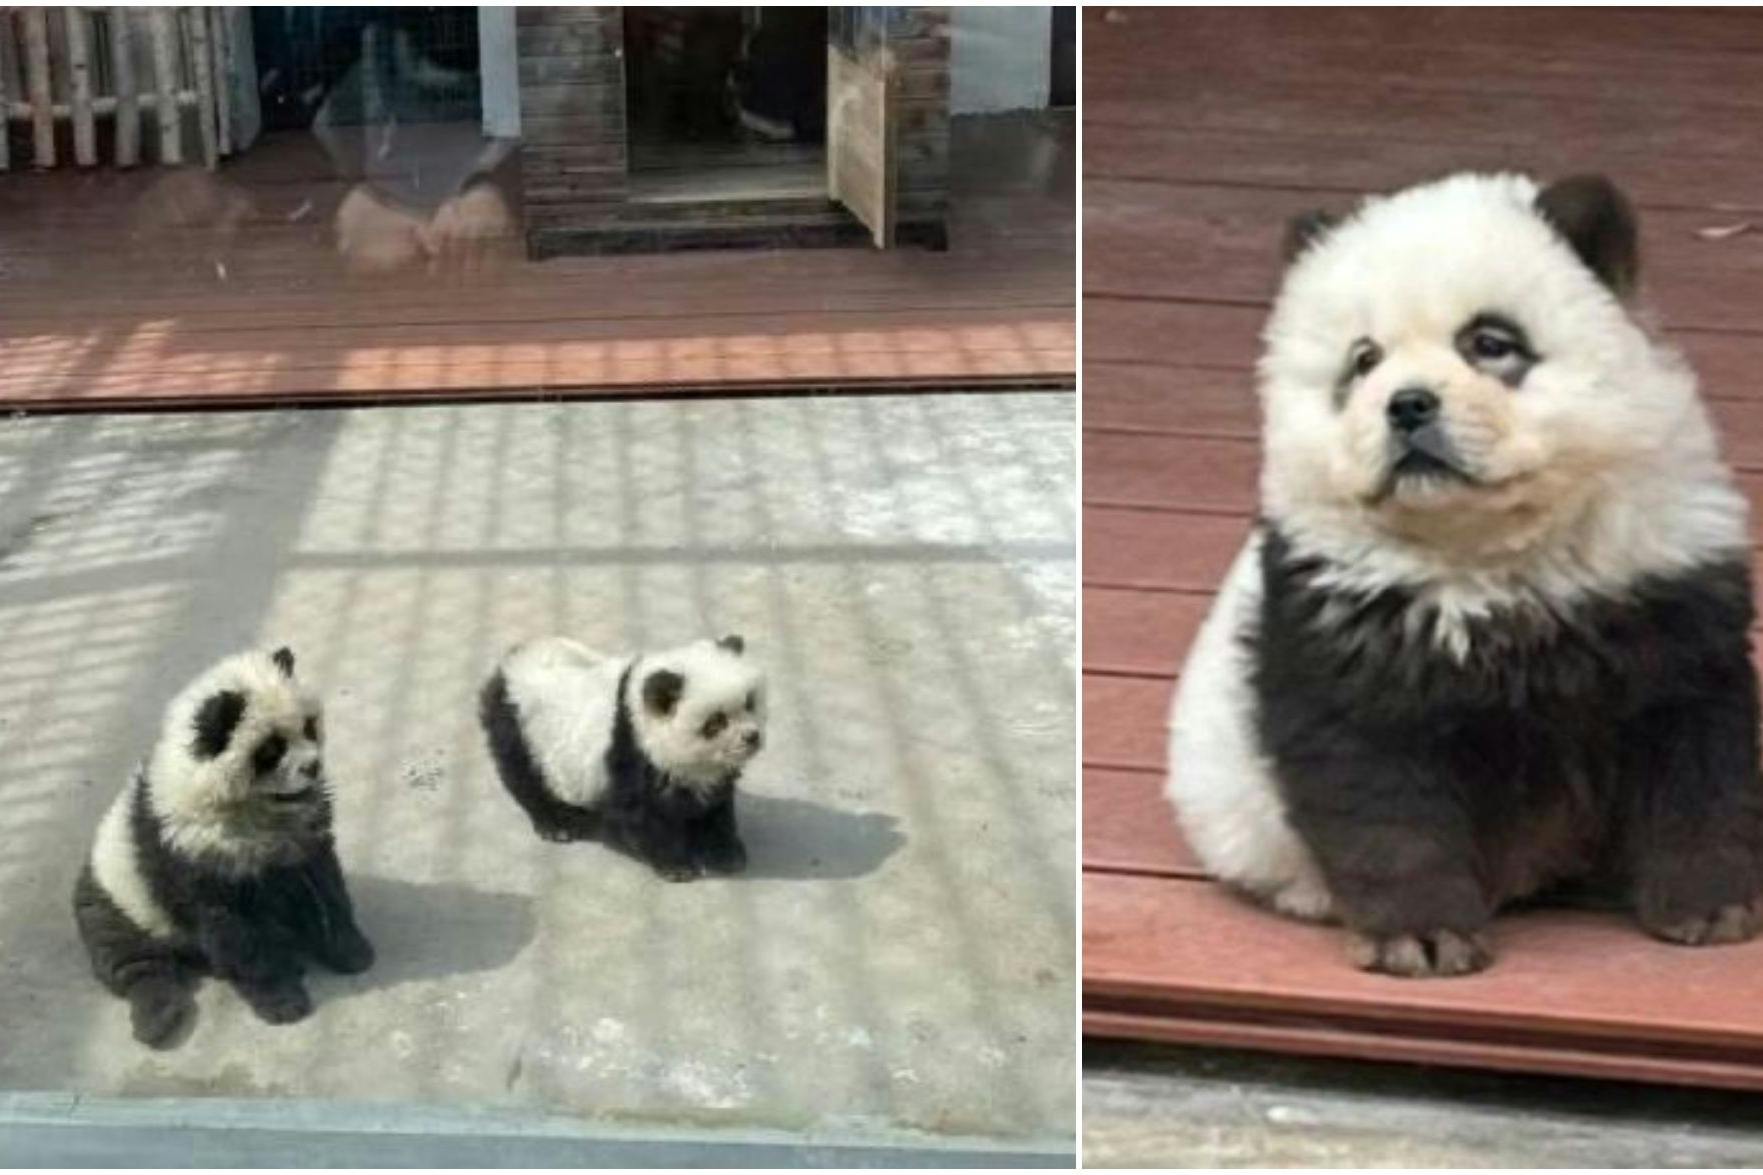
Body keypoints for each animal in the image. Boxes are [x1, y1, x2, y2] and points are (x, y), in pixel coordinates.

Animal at [73, 647, 374, 1048]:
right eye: (271, 750)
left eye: (309, 726)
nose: (312, 767)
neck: (254, 809)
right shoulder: (190, 853)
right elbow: (234, 932)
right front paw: (281, 1001)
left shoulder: (304, 838)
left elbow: (325, 887)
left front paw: (351, 951)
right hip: (117, 900)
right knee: (131, 961)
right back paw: (158, 1017)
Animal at [479, 635, 767, 881]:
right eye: (716, 721)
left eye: (749, 703)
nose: (752, 737)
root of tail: (506, 668)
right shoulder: (631, 755)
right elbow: (641, 814)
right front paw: (675, 866)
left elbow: (715, 808)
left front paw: (725, 855)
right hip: (521, 730)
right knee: (526, 779)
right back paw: (556, 825)